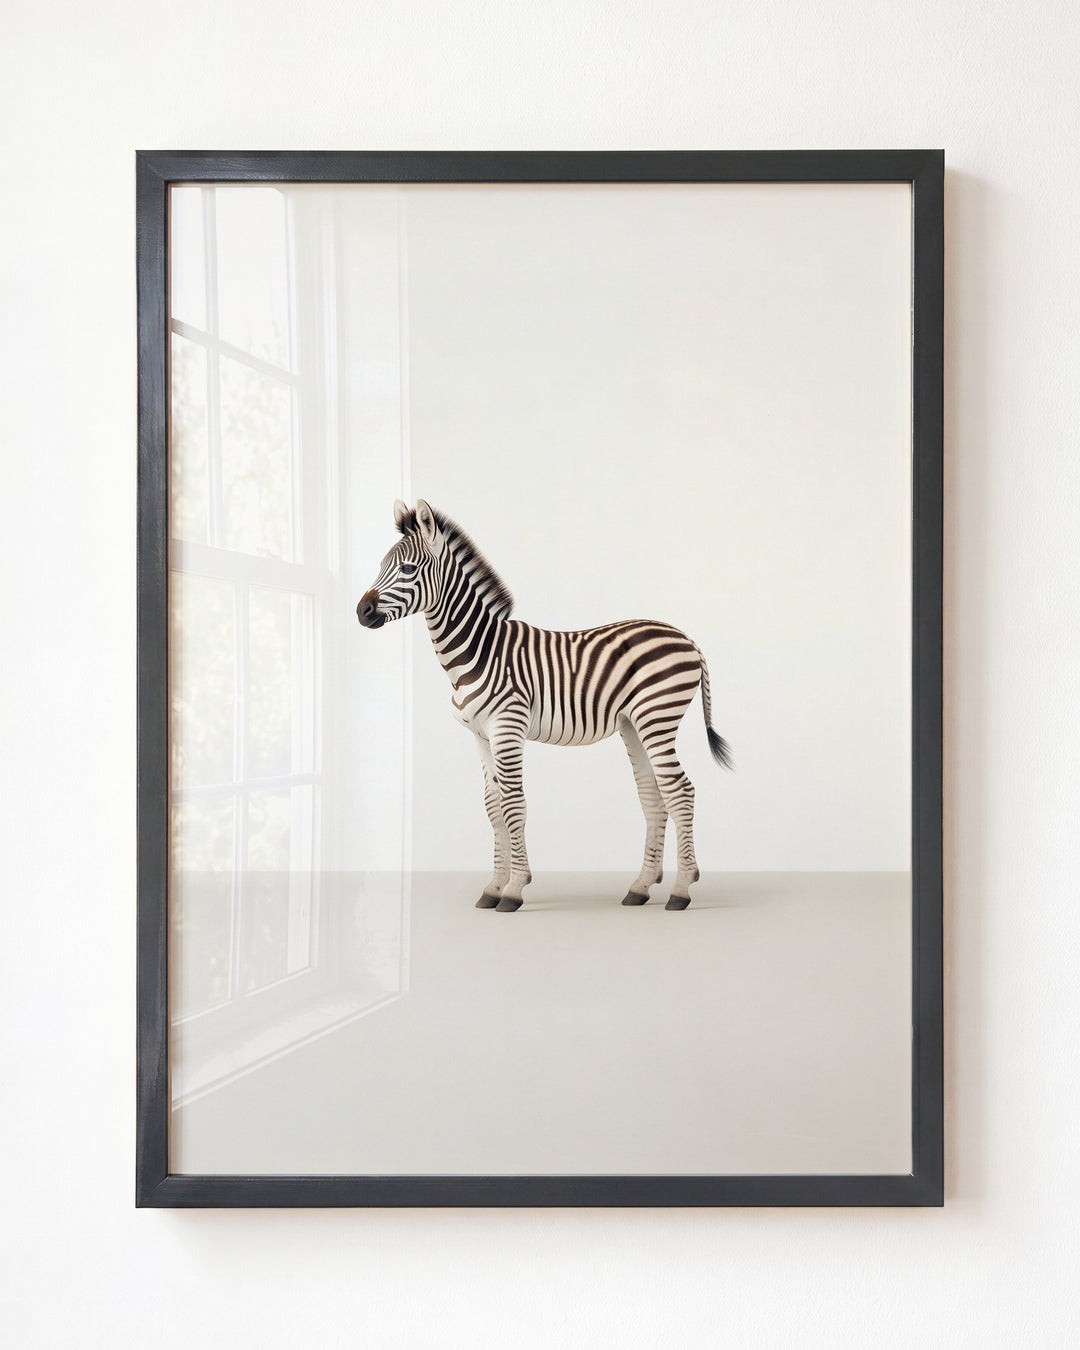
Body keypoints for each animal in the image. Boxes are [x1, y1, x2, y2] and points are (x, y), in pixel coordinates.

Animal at [356, 499, 732, 912]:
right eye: (380, 565)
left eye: (408, 569)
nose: (361, 611)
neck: (478, 651)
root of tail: (687, 638)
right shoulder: (480, 735)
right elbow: (492, 806)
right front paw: (493, 887)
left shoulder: (507, 727)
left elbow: (513, 804)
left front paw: (514, 889)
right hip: (634, 724)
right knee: (653, 795)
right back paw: (641, 886)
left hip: (657, 717)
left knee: (680, 791)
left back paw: (681, 889)